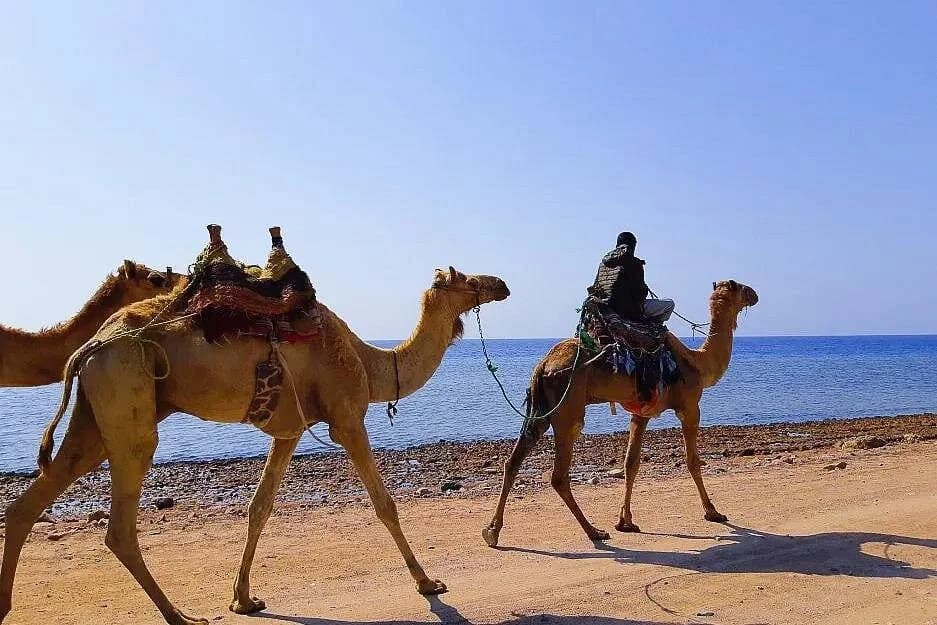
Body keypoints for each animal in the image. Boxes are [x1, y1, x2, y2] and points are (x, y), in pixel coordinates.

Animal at [483, 279, 758, 547]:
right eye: (738, 286)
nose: (754, 294)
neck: (697, 362)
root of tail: (543, 366)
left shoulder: (642, 412)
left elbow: (631, 463)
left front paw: (625, 521)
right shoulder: (690, 407)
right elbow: (692, 461)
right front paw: (713, 512)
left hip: (539, 407)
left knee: (513, 461)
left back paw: (492, 531)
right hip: (568, 404)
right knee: (559, 474)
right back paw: (594, 531)